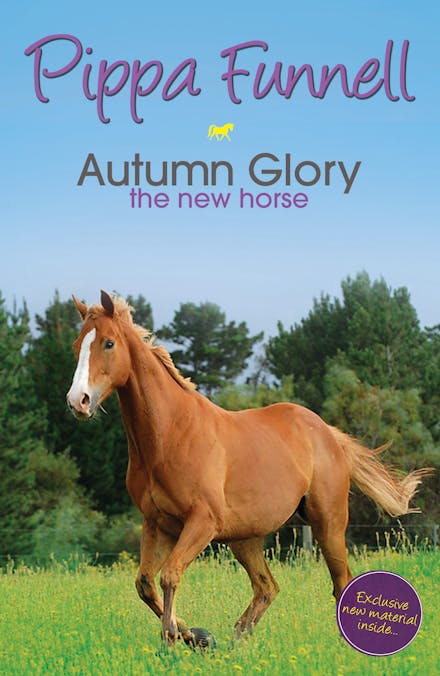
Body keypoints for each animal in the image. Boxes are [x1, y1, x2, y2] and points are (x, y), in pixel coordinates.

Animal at [66, 291, 431, 647]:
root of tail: (327, 433)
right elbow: (145, 583)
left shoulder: (202, 522)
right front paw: (195, 636)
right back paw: (236, 641)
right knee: (267, 587)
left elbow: (169, 575)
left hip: (327, 522)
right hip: (245, 538)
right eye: (76, 345)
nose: (77, 401)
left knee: (340, 582)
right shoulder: (158, 523)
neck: (170, 435)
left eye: (108, 343)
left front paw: (173, 641)